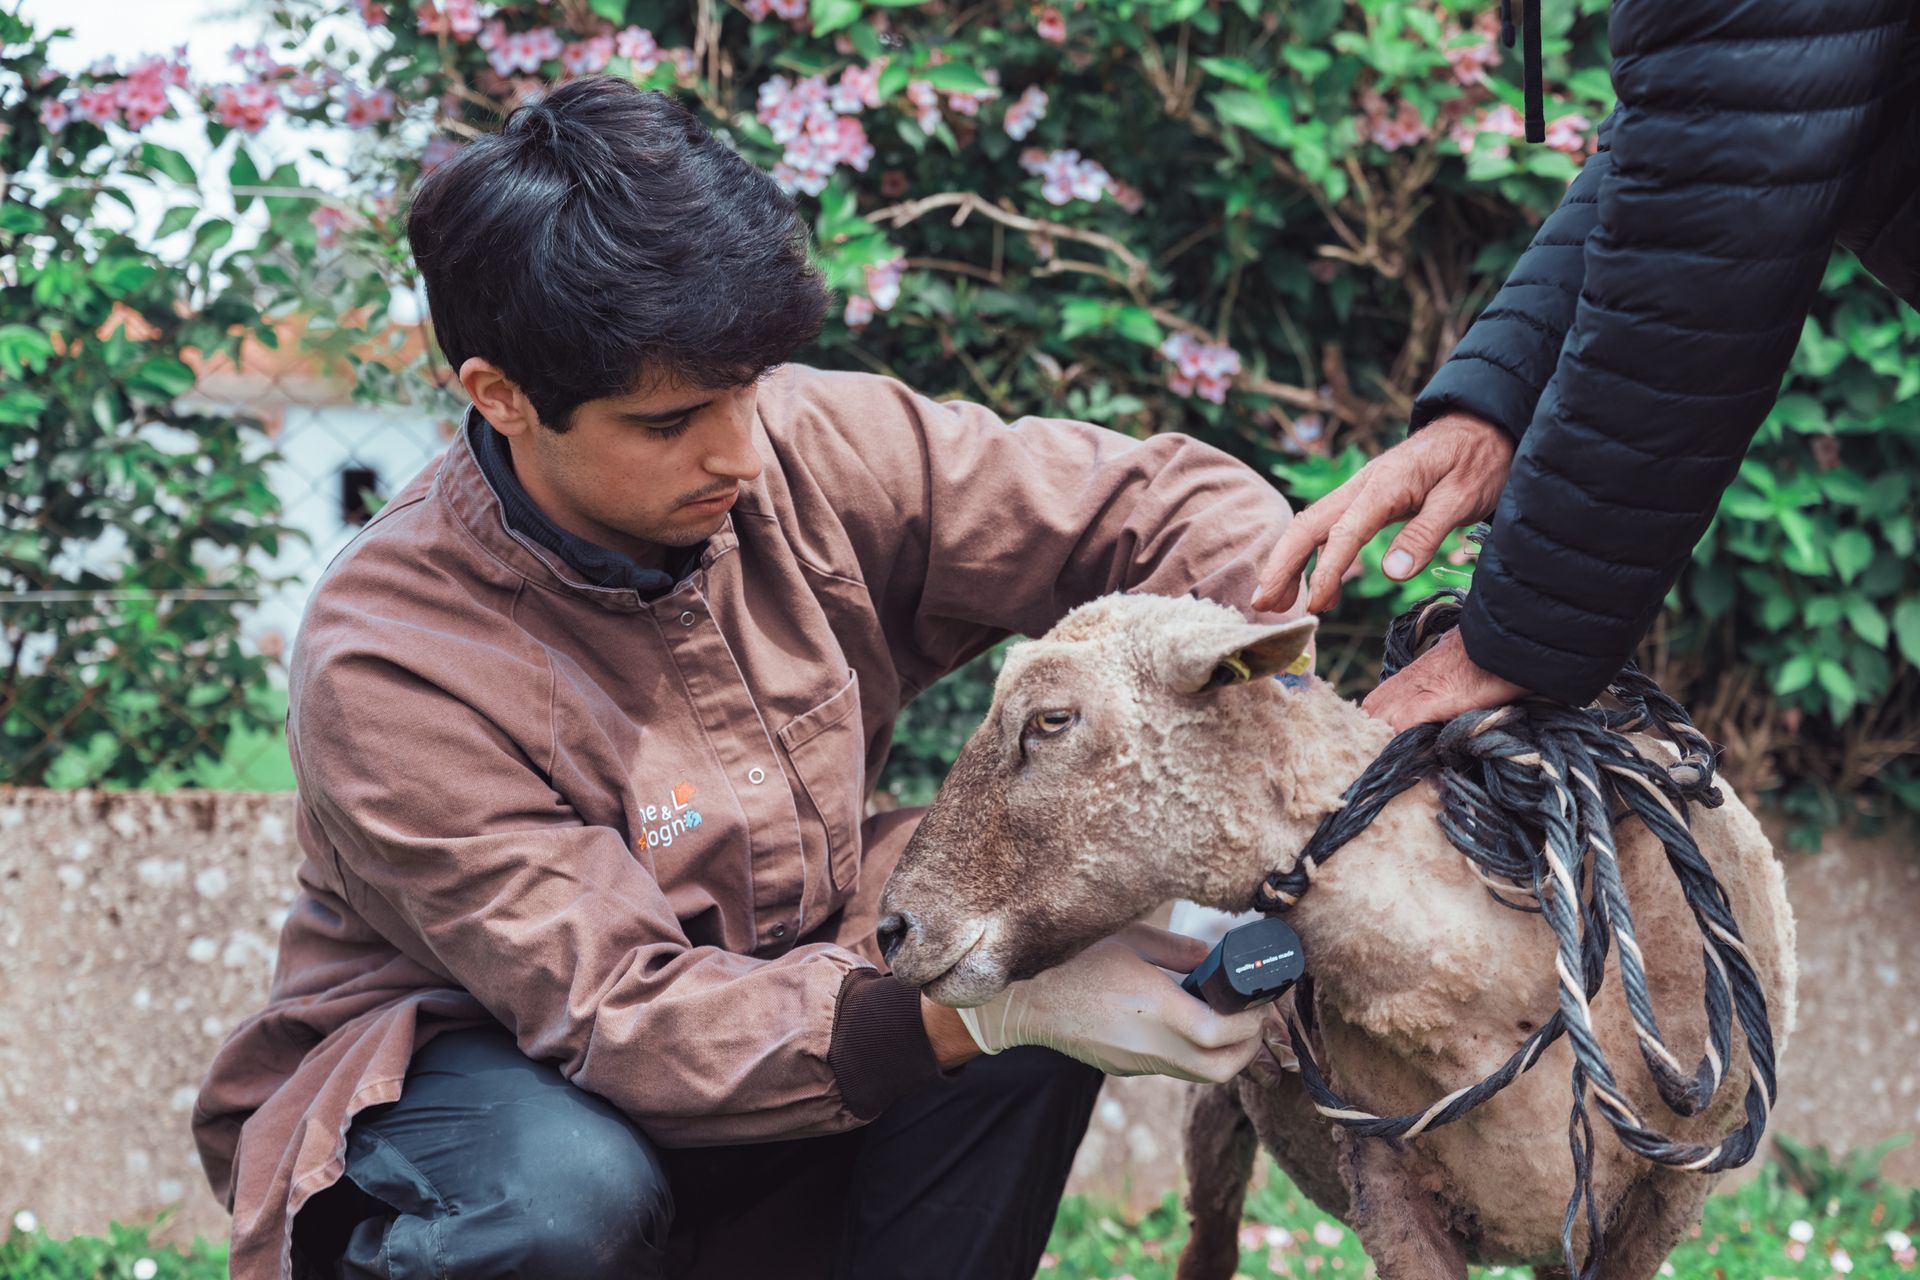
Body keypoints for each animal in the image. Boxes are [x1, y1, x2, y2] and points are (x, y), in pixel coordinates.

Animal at [878, 592, 1797, 1280]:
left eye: (1051, 719)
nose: (891, 928)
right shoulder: (1390, 1192)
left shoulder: (1656, 1209)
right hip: (1216, 1117)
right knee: (1210, 1244)